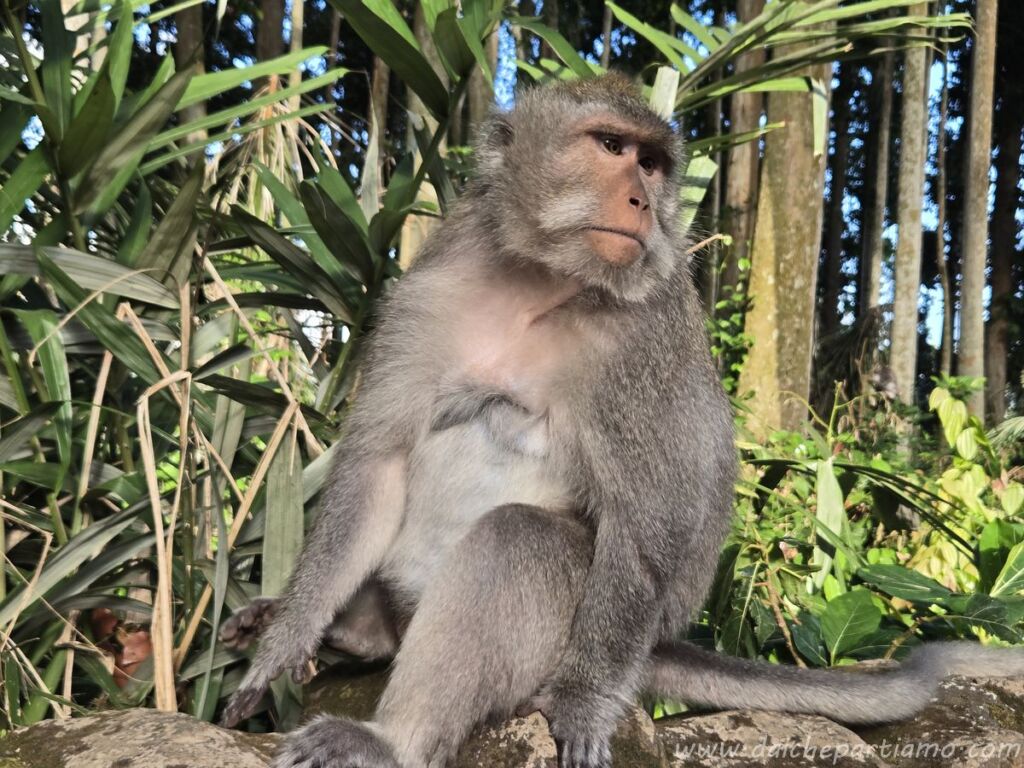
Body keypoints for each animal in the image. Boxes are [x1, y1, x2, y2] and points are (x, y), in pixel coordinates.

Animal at [220, 74, 1024, 768]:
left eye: (655, 163)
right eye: (611, 146)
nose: (641, 199)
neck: (541, 280)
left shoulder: (643, 342)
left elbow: (644, 524)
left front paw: (581, 704)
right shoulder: (425, 294)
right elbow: (377, 463)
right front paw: (287, 636)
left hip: (575, 634)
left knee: (521, 541)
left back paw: (393, 740)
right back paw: (348, 630)